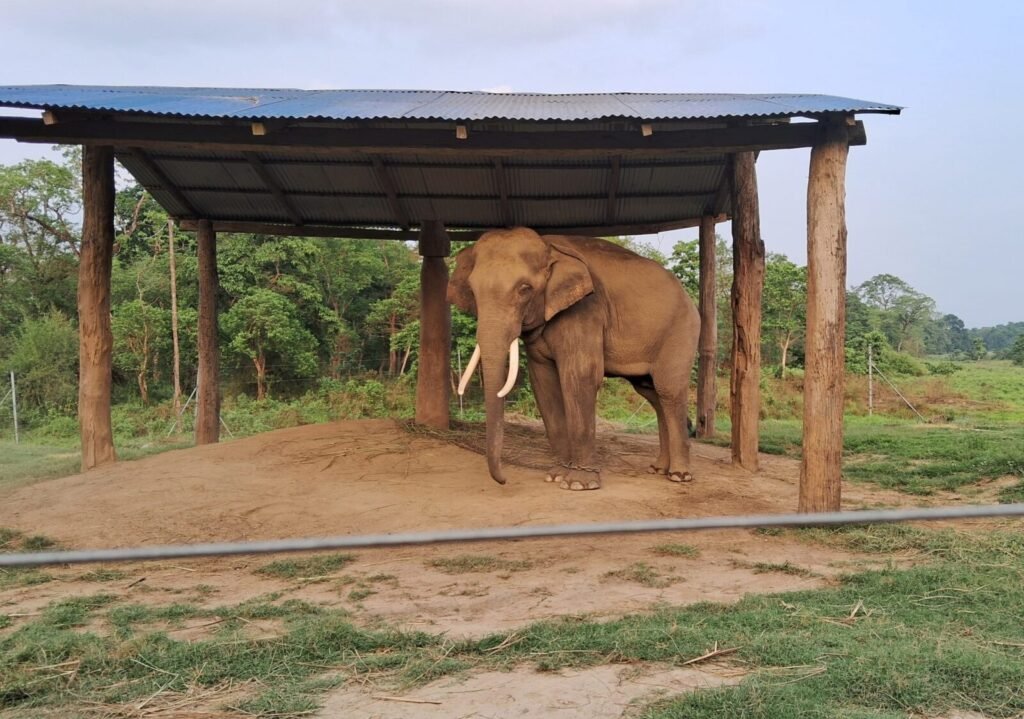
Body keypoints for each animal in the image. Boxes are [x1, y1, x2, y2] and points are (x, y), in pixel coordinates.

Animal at [447, 227, 700, 491]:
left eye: (525, 288)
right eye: (473, 290)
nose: (505, 480)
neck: (547, 245)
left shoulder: (586, 309)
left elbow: (580, 377)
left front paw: (579, 484)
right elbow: (544, 383)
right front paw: (556, 476)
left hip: (681, 332)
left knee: (668, 390)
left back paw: (679, 475)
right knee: (651, 393)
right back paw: (658, 469)